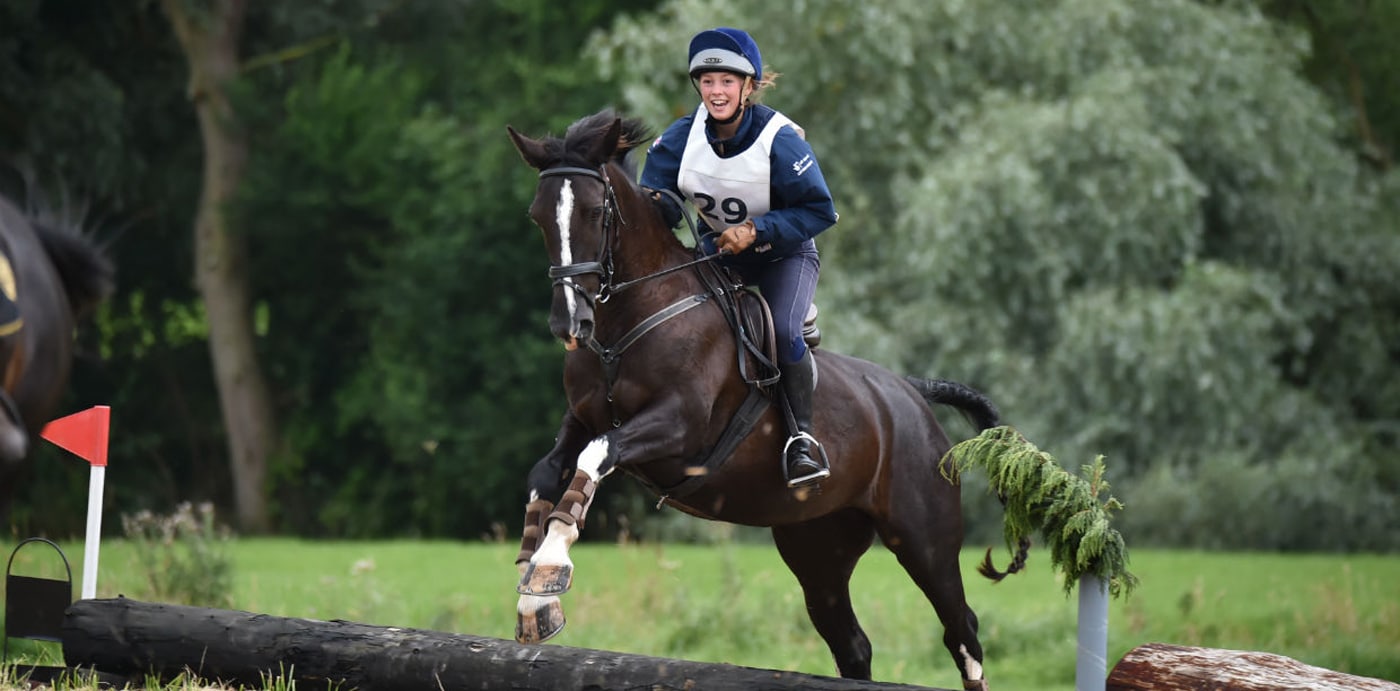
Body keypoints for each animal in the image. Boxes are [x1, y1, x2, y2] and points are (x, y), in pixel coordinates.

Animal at [506, 110, 1030, 688]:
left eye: (596, 213)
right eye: (537, 217)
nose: (569, 325)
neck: (628, 322)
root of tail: (911, 394)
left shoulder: (678, 428)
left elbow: (596, 453)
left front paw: (550, 572)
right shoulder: (582, 417)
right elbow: (551, 467)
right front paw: (531, 580)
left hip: (924, 540)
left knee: (962, 630)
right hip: (817, 545)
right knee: (852, 643)